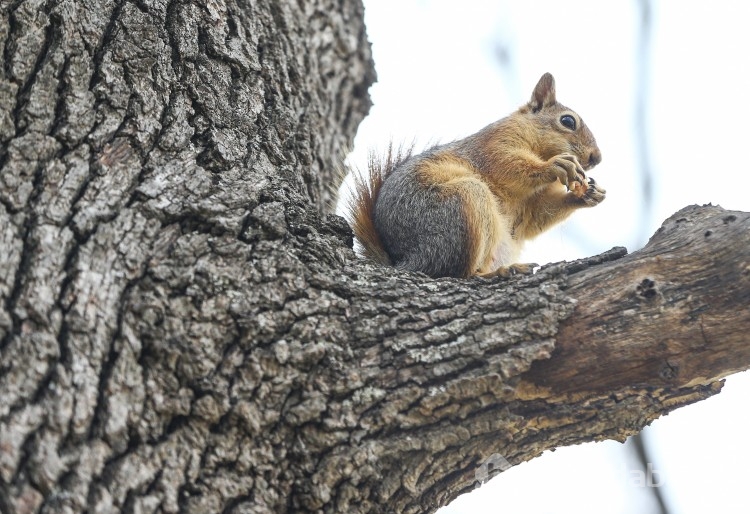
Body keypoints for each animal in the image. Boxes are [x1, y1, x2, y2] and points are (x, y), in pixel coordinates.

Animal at [350, 71, 608, 276]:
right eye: (568, 121)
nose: (596, 158)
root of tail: (408, 262)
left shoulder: (527, 208)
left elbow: (536, 217)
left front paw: (587, 194)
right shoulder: (494, 145)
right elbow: (509, 165)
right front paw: (554, 165)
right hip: (459, 207)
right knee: (456, 273)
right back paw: (495, 273)